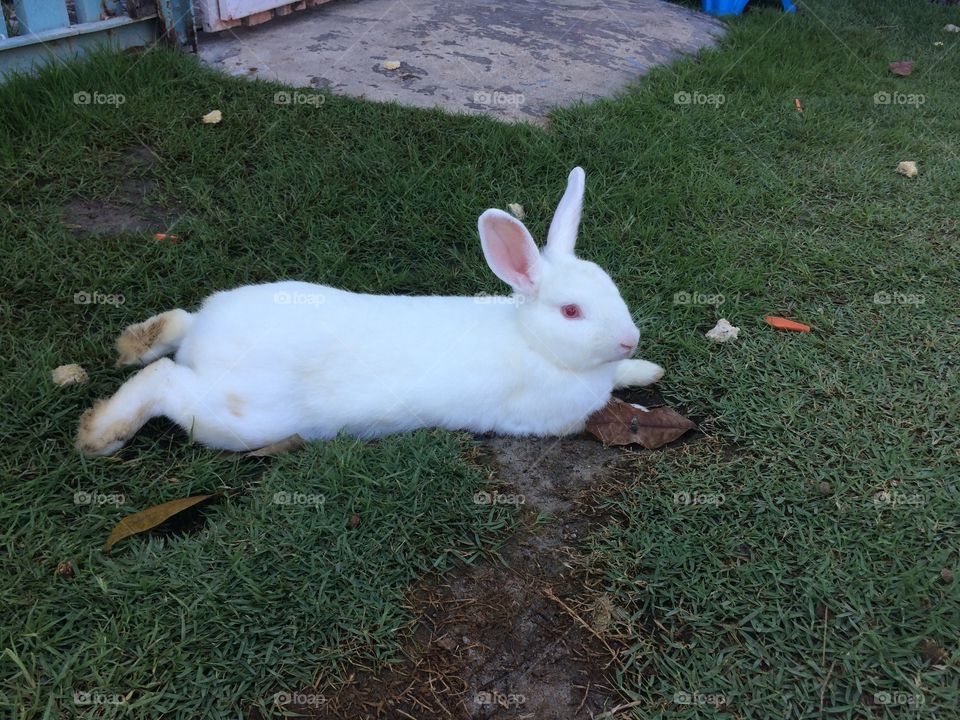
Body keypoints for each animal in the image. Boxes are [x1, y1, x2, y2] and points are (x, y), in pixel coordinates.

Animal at [75, 167, 664, 456]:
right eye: (571, 312)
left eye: (613, 289)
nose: (629, 339)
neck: (532, 341)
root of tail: (207, 339)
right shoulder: (551, 419)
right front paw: (640, 411)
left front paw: (646, 369)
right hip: (238, 417)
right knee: (163, 380)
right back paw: (99, 434)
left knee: (173, 328)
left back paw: (131, 345)